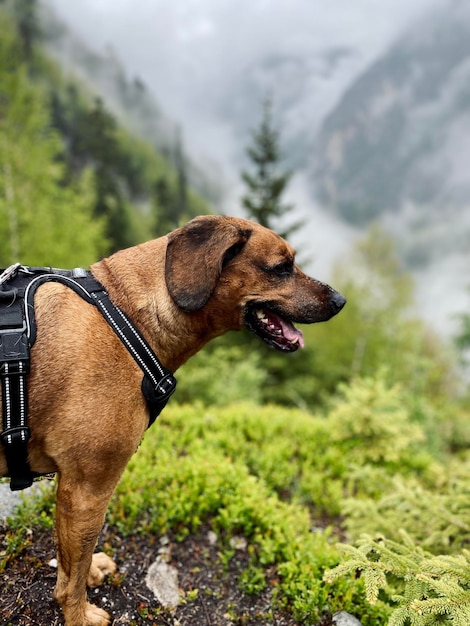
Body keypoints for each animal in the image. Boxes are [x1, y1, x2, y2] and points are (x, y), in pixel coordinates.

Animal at [0, 213, 346, 620]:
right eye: (281, 267)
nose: (340, 300)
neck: (125, 315)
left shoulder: (71, 491)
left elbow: (73, 560)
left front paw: (92, 572)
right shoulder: (87, 490)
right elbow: (72, 577)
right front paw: (80, 615)